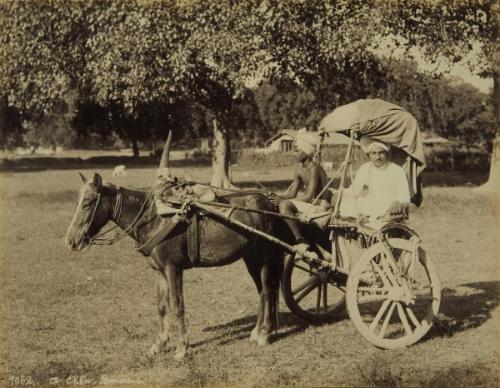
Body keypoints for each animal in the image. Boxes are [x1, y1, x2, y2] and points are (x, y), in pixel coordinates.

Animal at [65, 136, 286, 360]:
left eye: (88, 203)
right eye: (78, 201)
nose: (71, 240)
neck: (155, 218)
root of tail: (267, 203)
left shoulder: (174, 269)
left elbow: (177, 305)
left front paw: (182, 348)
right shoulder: (159, 272)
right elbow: (162, 307)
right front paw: (160, 344)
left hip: (265, 258)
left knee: (267, 290)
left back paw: (264, 334)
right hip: (250, 259)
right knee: (261, 291)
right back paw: (256, 331)